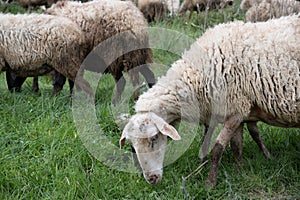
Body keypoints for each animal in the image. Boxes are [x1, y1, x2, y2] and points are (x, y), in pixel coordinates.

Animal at [120, 14, 300, 188]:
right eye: (132, 146)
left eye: (154, 138)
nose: (151, 179)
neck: (197, 76)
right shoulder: (236, 109)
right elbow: (234, 146)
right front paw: (239, 171)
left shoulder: (234, 111)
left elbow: (217, 149)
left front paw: (210, 184)